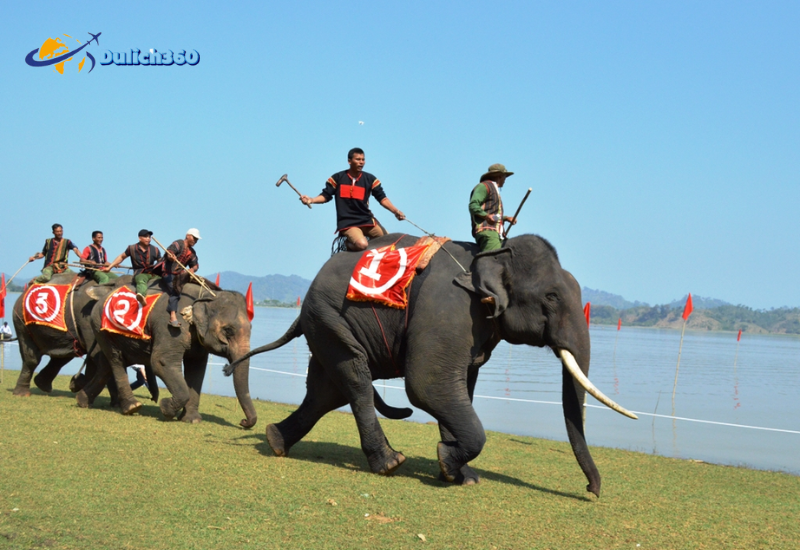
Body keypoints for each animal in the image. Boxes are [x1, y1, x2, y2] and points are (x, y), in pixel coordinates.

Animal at [225, 233, 636, 500]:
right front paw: (448, 462)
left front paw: (461, 475)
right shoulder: (449, 310)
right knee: (354, 379)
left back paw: (276, 441)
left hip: (327, 324)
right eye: (551, 297)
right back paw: (390, 463)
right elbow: (427, 385)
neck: (490, 255)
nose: (591, 491)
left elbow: (458, 388)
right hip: (328, 316)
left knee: (327, 391)